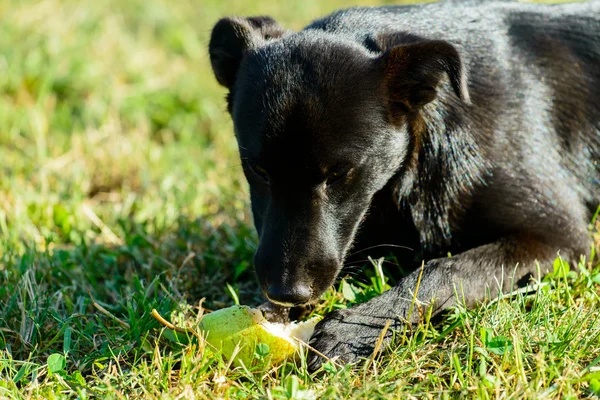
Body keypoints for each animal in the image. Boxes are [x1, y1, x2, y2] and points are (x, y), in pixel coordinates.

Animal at [207, 0, 600, 368]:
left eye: (339, 173)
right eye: (258, 170)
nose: (287, 292)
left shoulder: (558, 238)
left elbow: (443, 269)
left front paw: (353, 329)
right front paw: (268, 314)